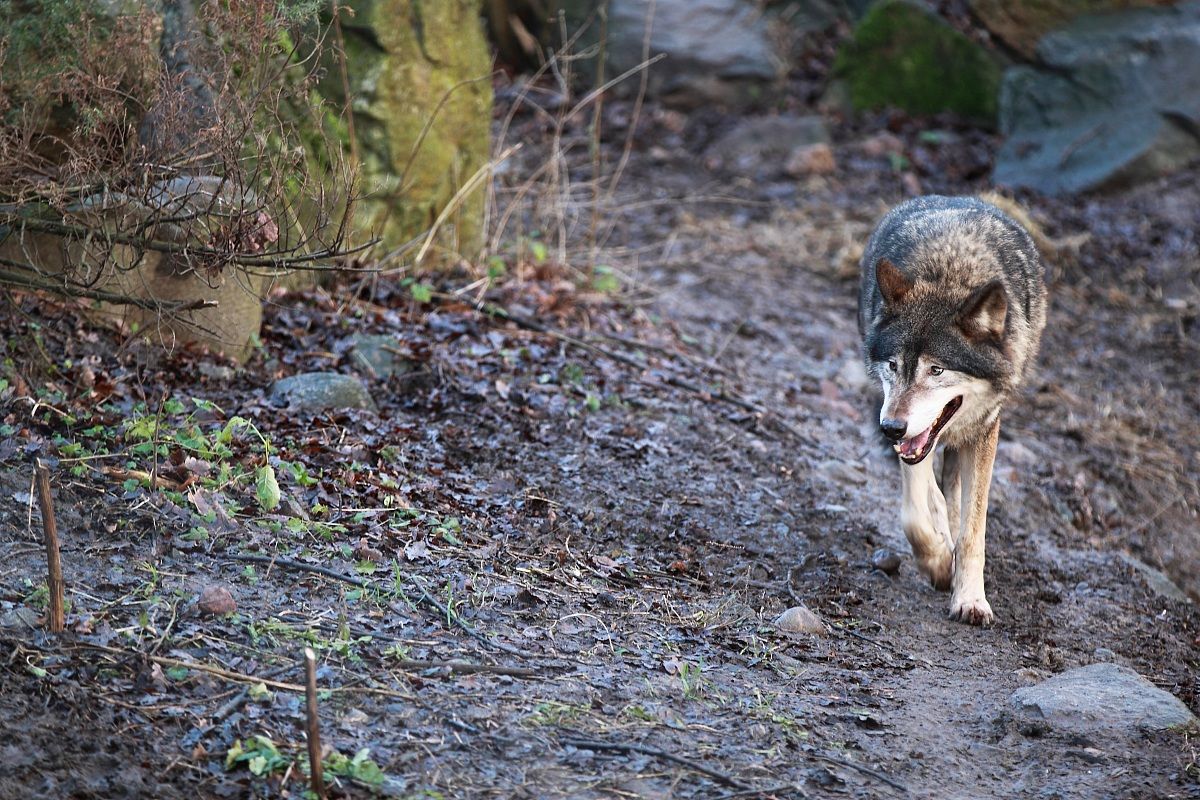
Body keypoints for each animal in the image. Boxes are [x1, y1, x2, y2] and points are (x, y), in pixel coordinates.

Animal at [858, 195, 1047, 625]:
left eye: (937, 370)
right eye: (893, 365)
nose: (889, 428)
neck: (949, 272)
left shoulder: (984, 430)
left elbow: (973, 531)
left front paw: (970, 599)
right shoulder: (910, 437)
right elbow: (916, 513)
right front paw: (938, 562)